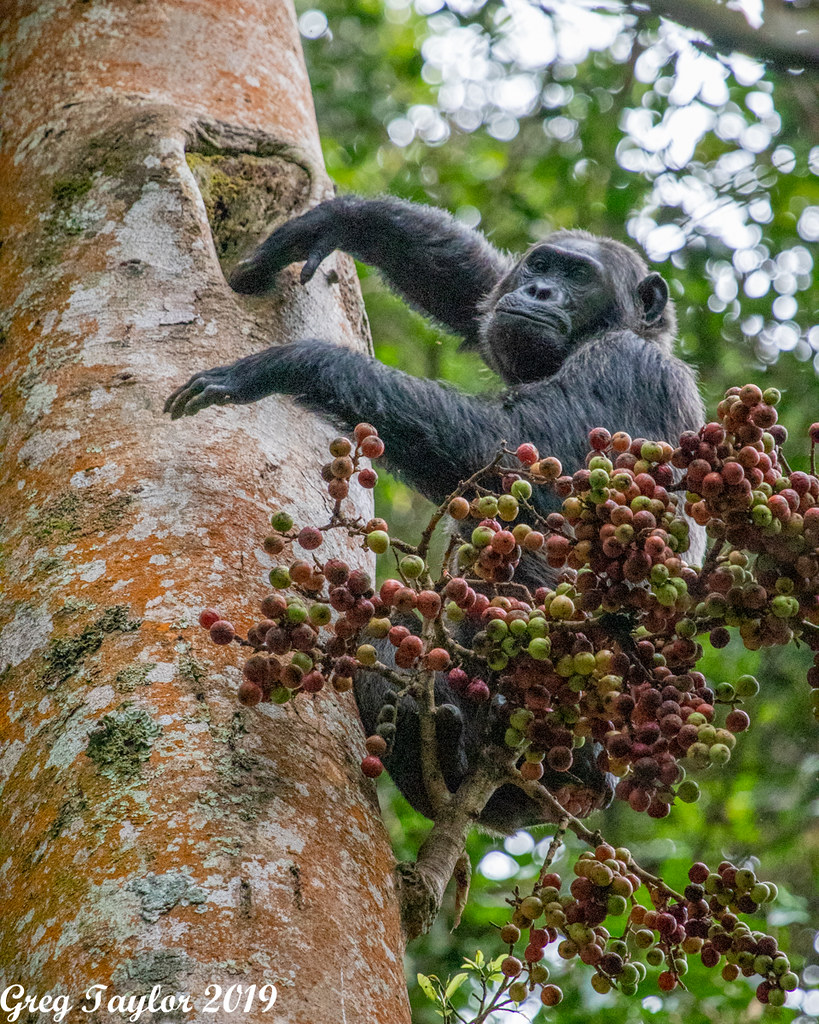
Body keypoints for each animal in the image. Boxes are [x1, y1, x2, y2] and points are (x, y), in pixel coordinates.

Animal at [165, 195, 704, 832]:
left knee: (390, 644)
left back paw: (444, 741)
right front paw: (338, 221)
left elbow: (511, 455)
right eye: (541, 264)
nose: (541, 290)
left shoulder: (621, 364)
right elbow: (476, 291)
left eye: (578, 276)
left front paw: (286, 364)